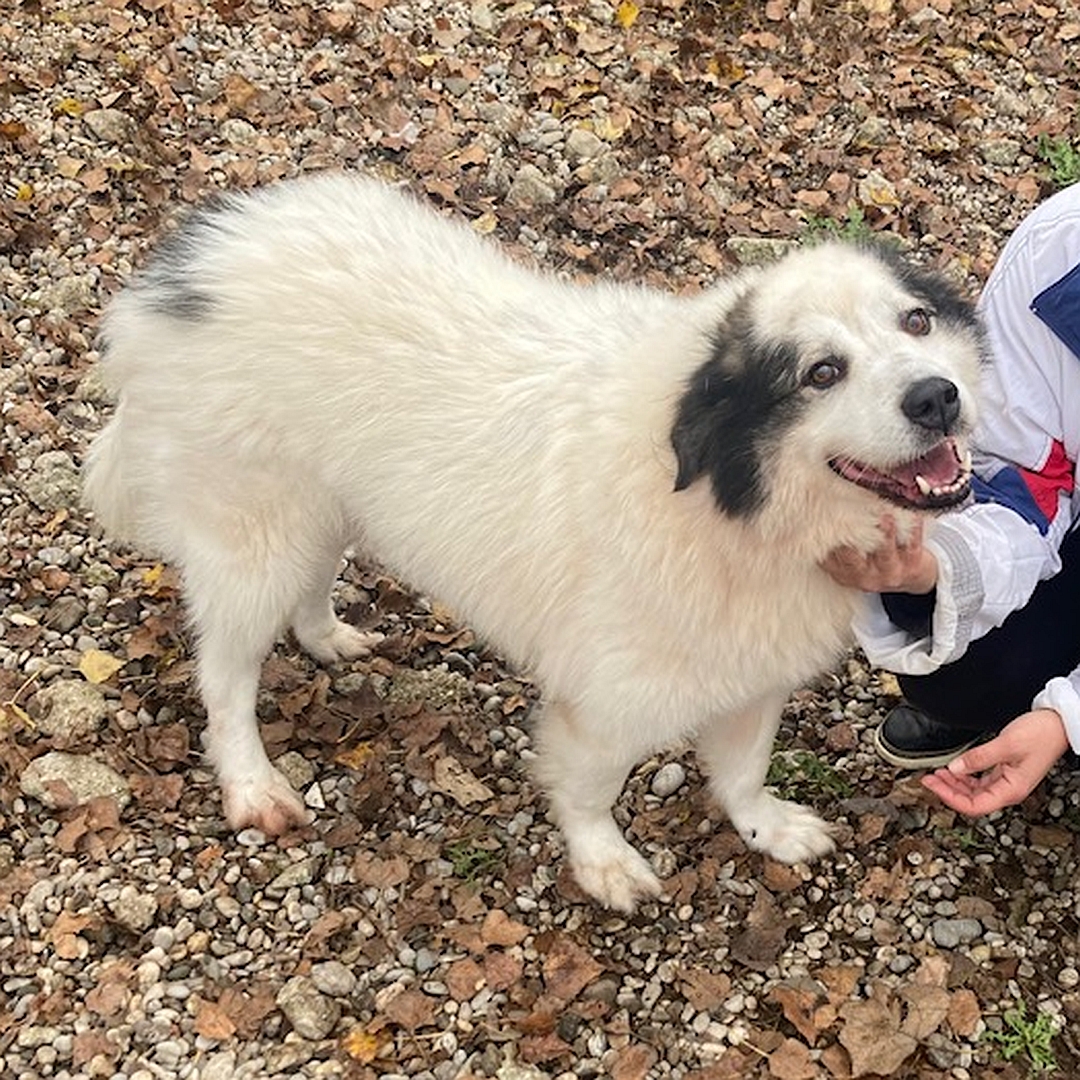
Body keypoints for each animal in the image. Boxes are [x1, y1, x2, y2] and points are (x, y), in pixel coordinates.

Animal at [82, 174, 980, 911]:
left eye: (917, 320)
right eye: (821, 372)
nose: (939, 397)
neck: (725, 505)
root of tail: (182, 269)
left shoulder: (754, 675)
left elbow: (744, 771)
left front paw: (767, 829)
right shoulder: (606, 702)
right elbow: (589, 788)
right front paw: (603, 864)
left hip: (325, 507)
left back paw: (328, 636)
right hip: (255, 538)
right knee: (225, 680)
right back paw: (252, 784)